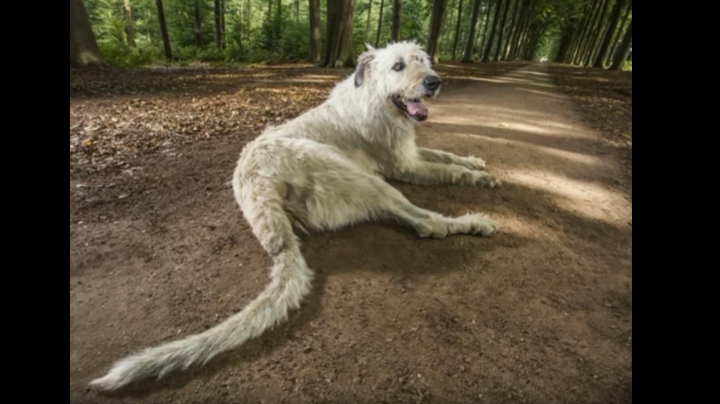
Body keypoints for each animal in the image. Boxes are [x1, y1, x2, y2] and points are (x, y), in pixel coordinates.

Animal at [90, 41, 504, 392]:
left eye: (423, 61)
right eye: (398, 66)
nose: (435, 81)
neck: (372, 97)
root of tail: (259, 192)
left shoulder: (411, 153)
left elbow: (445, 156)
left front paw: (475, 162)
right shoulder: (404, 166)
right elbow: (447, 170)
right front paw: (480, 178)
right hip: (359, 176)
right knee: (425, 223)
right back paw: (473, 222)